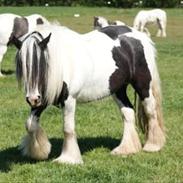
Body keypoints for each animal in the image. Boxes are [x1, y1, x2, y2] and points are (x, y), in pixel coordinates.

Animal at [12, 24, 165, 164]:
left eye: (42, 64)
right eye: (23, 65)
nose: (32, 99)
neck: (62, 64)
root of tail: (139, 35)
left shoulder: (68, 100)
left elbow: (68, 128)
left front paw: (68, 159)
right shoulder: (43, 99)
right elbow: (30, 124)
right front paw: (39, 152)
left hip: (143, 85)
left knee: (150, 110)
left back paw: (153, 145)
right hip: (118, 89)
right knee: (128, 112)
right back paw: (126, 149)